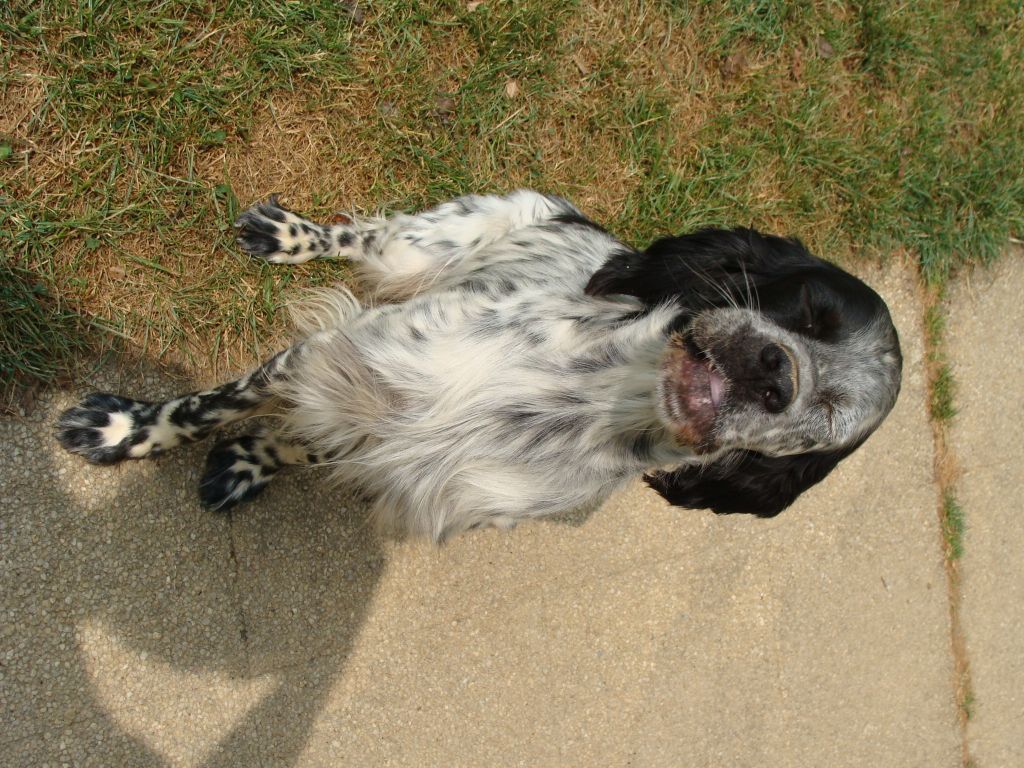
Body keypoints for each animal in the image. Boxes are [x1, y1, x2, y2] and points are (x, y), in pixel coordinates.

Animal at [58, 190, 905, 544]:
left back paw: (250, 462)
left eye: (827, 415)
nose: (773, 374)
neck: (590, 395)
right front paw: (122, 428)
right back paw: (290, 234)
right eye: (809, 314)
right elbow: (201, 405)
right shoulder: (342, 356)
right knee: (364, 236)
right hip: (431, 241)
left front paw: (252, 452)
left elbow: (297, 434)